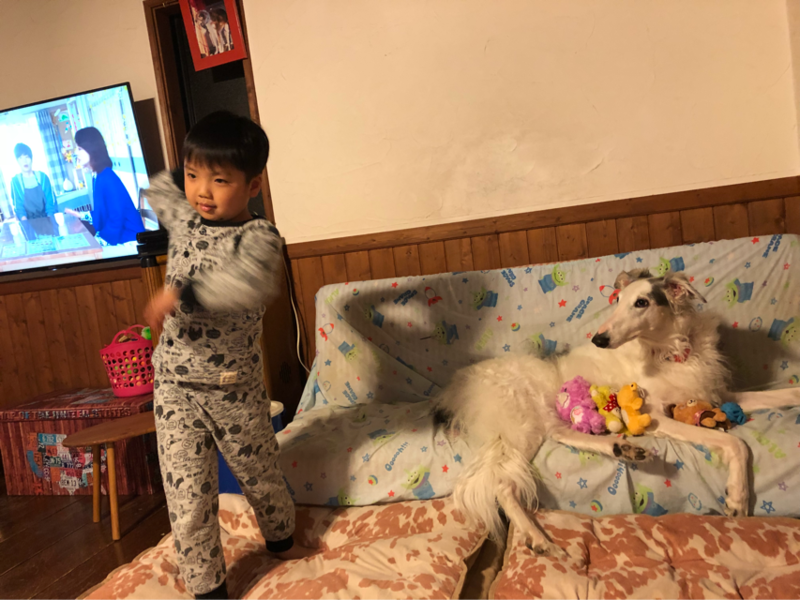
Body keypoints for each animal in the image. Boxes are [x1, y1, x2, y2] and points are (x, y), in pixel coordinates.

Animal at [436, 269, 800, 556]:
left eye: (641, 303)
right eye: (618, 300)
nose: (599, 338)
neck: (672, 351)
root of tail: (456, 384)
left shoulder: (718, 395)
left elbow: (784, 394)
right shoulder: (658, 417)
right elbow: (737, 444)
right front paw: (737, 497)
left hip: (540, 421)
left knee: (562, 435)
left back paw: (622, 448)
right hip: (522, 425)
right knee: (502, 485)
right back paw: (539, 538)